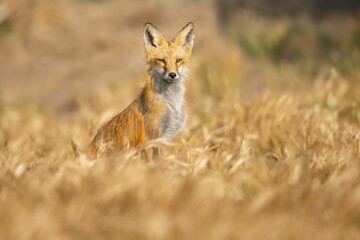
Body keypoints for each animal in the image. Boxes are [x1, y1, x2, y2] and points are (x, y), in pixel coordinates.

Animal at [87, 22, 194, 158]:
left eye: (178, 60)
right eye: (162, 60)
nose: (172, 75)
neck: (171, 102)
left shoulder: (165, 136)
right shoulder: (153, 137)